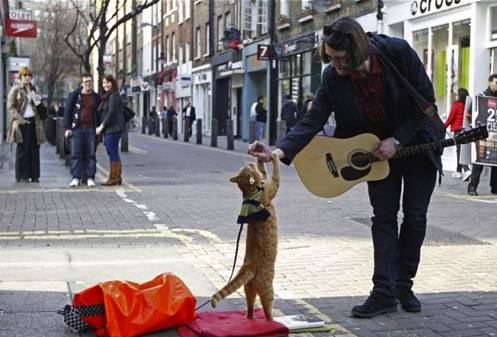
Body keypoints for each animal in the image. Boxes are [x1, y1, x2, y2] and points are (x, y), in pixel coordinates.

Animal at [209, 154, 280, 318]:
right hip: (267, 288)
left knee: (250, 305)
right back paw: (272, 319)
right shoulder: (272, 186)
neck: (251, 193)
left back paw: (250, 317)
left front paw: (261, 156)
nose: (249, 162)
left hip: (249, 288)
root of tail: (249, 265)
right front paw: (274, 156)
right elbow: (275, 173)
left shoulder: (264, 180)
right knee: (267, 308)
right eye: (249, 168)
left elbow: (263, 171)